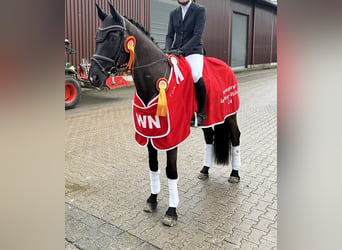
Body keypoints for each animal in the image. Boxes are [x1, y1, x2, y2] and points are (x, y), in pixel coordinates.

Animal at [89, 3, 242, 227]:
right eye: (97, 37)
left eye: (113, 37)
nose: (93, 77)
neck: (154, 80)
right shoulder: (151, 132)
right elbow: (153, 166)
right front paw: (152, 200)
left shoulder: (171, 136)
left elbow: (171, 171)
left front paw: (171, 212)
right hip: (208, 120)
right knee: (209, 138)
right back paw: (205, 171)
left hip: (230, 114)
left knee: (235, 137)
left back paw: (235, 174)